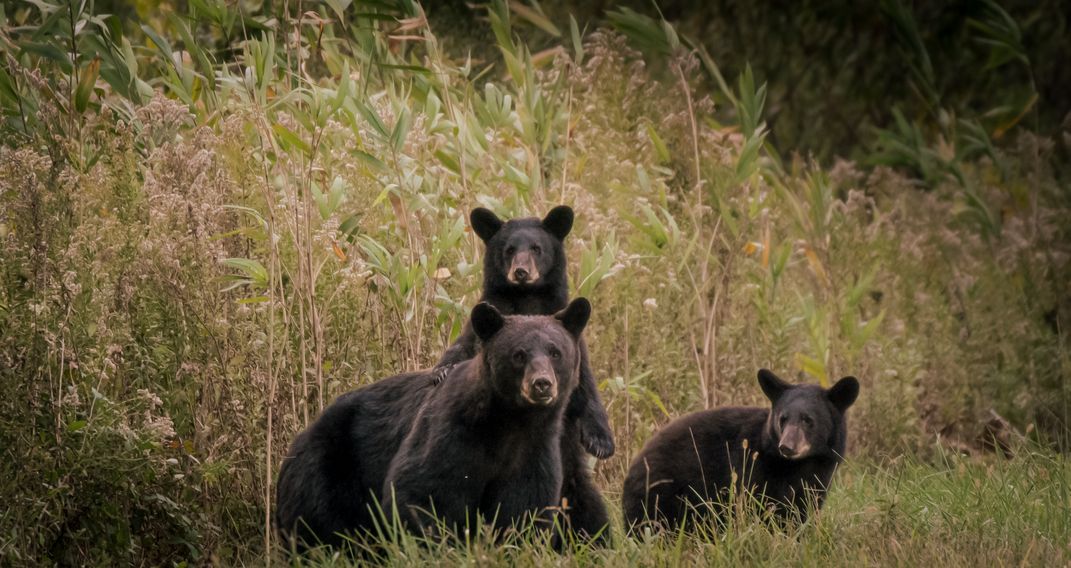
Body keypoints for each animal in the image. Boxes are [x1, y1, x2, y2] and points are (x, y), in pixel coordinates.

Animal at [274, 297, 595, 546]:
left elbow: (524, 507)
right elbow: (425, 491)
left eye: (555, 352)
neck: (508, 423)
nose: (542, 384)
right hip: (326, 467)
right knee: (320, 524)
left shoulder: (533, 451)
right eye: (519, 354)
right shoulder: (452, 433)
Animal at [432, 205, 616, 542]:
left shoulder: (573, 343)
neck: (526, 300)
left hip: (575, 484)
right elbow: (461, 351)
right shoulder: (482, 329)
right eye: (508, 249)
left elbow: (585, 387)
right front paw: (441, 373)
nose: (521, 272)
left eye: (536, 248)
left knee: (591, 512)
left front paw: (601, 441)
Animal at [621, 366, 861, 531]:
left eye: (807, 420)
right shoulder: (754, 469)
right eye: (783, 419)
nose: (787, 446)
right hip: (663, 496)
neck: (799, 465)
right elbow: (759, 507)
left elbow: (802, 510)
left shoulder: (817, 479)